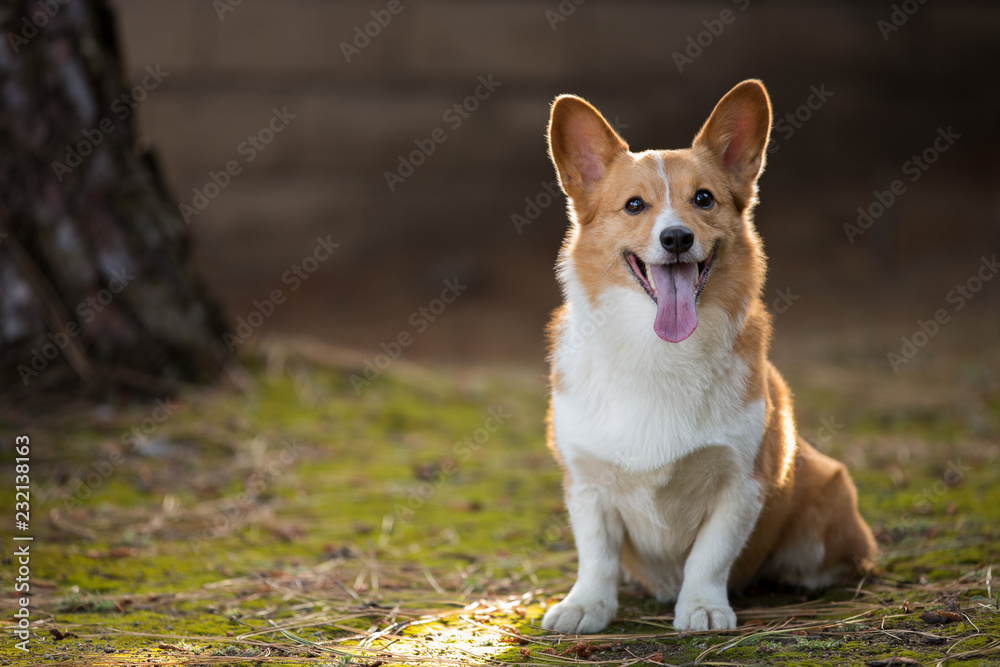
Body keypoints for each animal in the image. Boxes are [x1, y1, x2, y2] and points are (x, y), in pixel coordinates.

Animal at [540, 81, 876, 636]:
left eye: (703, 198)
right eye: (634, 205)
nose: (676, 238)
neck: (658, 350)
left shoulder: (742, 482)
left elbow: (709, 556)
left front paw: (701, 607)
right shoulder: (587, 482)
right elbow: (597, 555)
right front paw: (586, 606)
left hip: (830, 491)